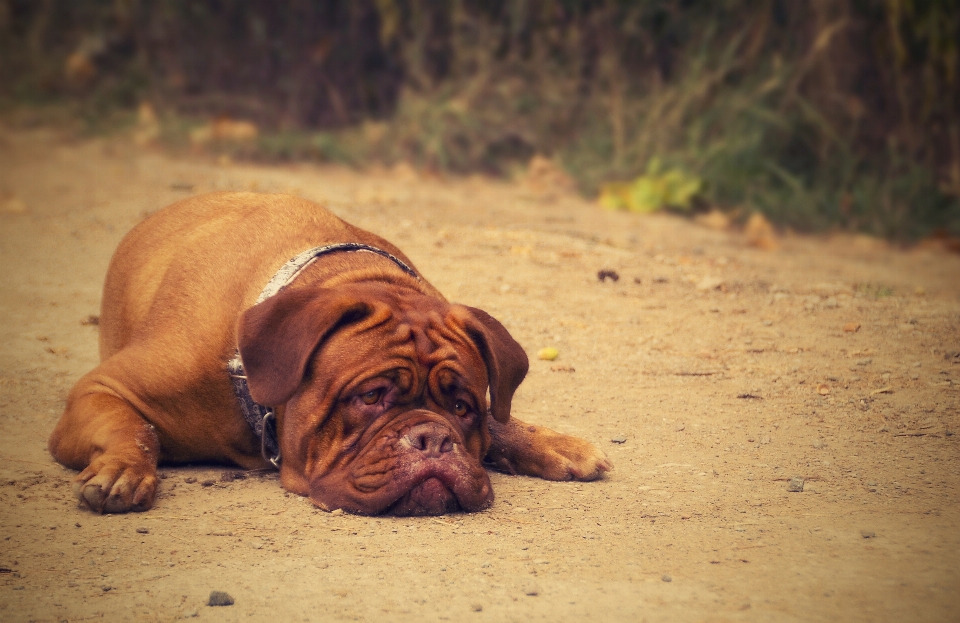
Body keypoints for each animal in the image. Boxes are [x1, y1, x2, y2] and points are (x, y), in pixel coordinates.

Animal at [47, 194, 608, 516]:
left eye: (462, 407)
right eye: (371, 396)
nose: (432, 438)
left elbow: (501, 420)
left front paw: (550, 442)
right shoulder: (101, 390)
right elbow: (133, 427)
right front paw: (123, 470)